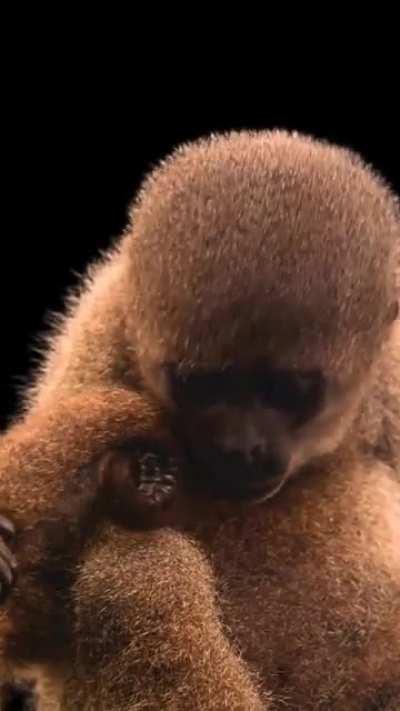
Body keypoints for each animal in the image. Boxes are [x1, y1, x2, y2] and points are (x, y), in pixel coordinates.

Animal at [0, 129, 399, 709]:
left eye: (288, 390)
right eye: (201, 385)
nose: (241, 448)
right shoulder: (95, 344)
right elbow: (37, 618)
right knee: (136, 568)